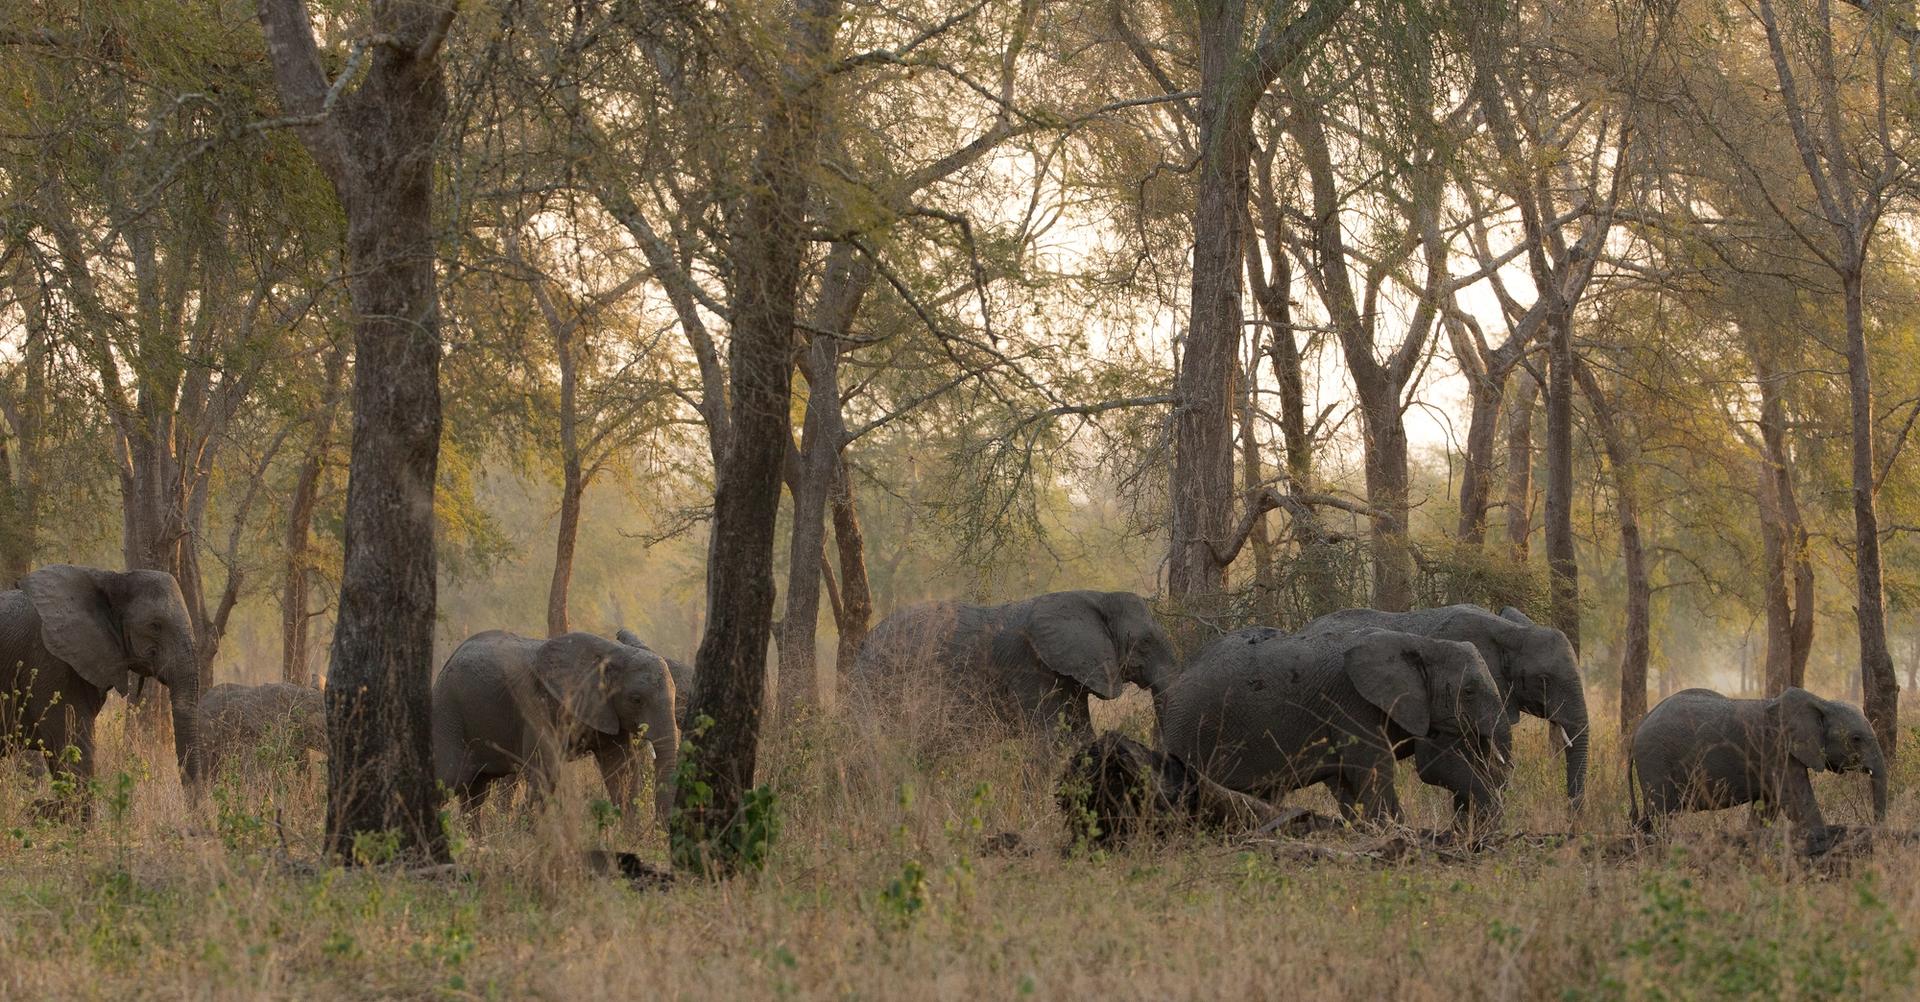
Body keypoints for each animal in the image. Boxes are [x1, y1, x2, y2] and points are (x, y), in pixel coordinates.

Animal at [432, 630, 678, 826]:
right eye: (636, 700)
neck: (614, 652)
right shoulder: (535, 703)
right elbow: (546, 771)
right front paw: (524, 837)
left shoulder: (606, 711)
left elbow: (621, 769)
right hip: (448, 712)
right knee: (449, 777)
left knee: (476, 790)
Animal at [847, 590, 1179, 742]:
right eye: (1144, 642)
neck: (1095, 595)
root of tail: (864, 643)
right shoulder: (1029, 668)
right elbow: (1049, 741)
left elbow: (1081, 735)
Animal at [1159, 627, 1511, 828]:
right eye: (1469, 691)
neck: (1423, 643)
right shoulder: (1352, 703)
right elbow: (1378, 769)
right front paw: (1396, 833)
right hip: (1193, 730)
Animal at [1630, 687, 1885, 851]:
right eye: (1856, 739)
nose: (1875, 829)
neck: (1821, 702)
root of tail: (1639, 726)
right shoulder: (1776, 749)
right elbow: (1796, 801)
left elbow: (1768, 806)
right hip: (1656, 760)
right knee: (1662, 815)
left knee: (1651, 816)